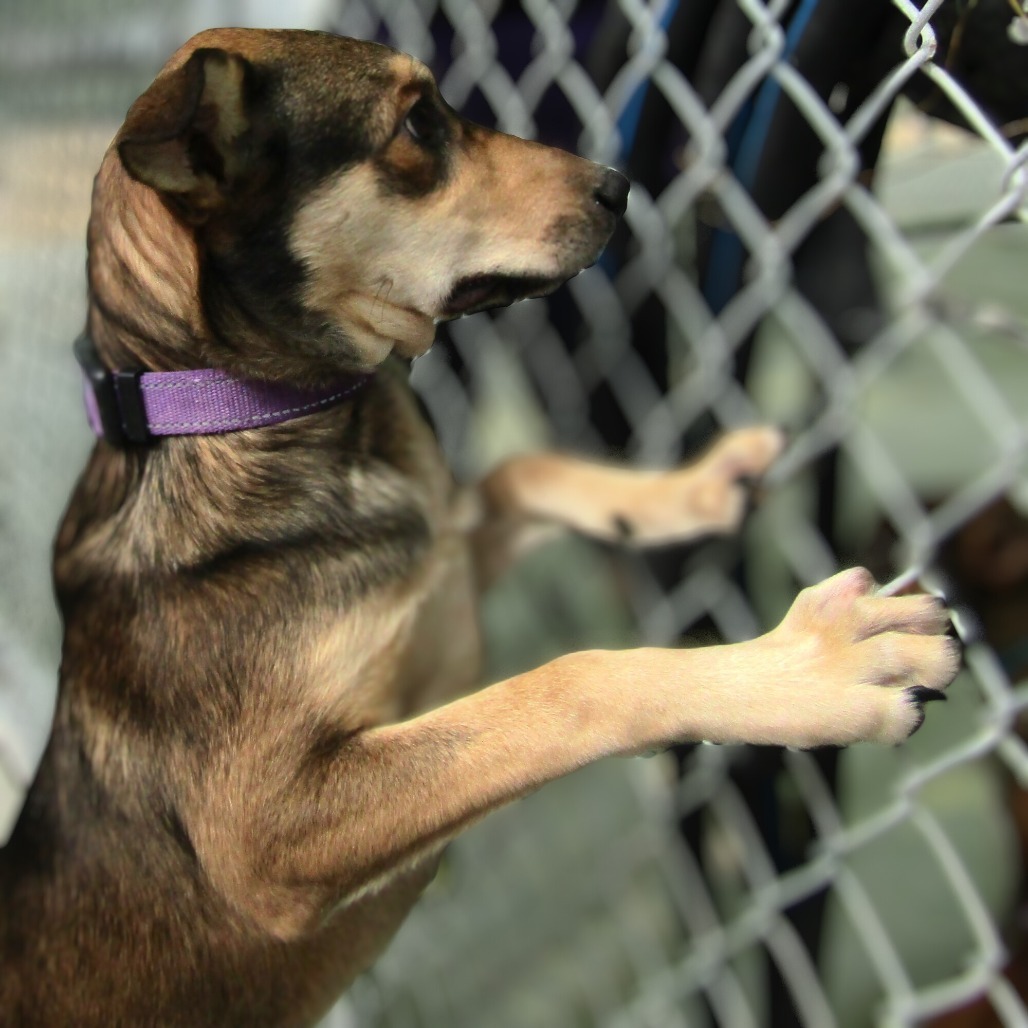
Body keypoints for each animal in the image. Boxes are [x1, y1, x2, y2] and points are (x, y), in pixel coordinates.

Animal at [0, 28, 962, 1023]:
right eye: (420, 122)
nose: (619, 182)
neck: (229, 413)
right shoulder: (268, 834)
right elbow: (568, 685)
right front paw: (814, 666)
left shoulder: (449, 569)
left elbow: (521, 469)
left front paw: (691, 488)